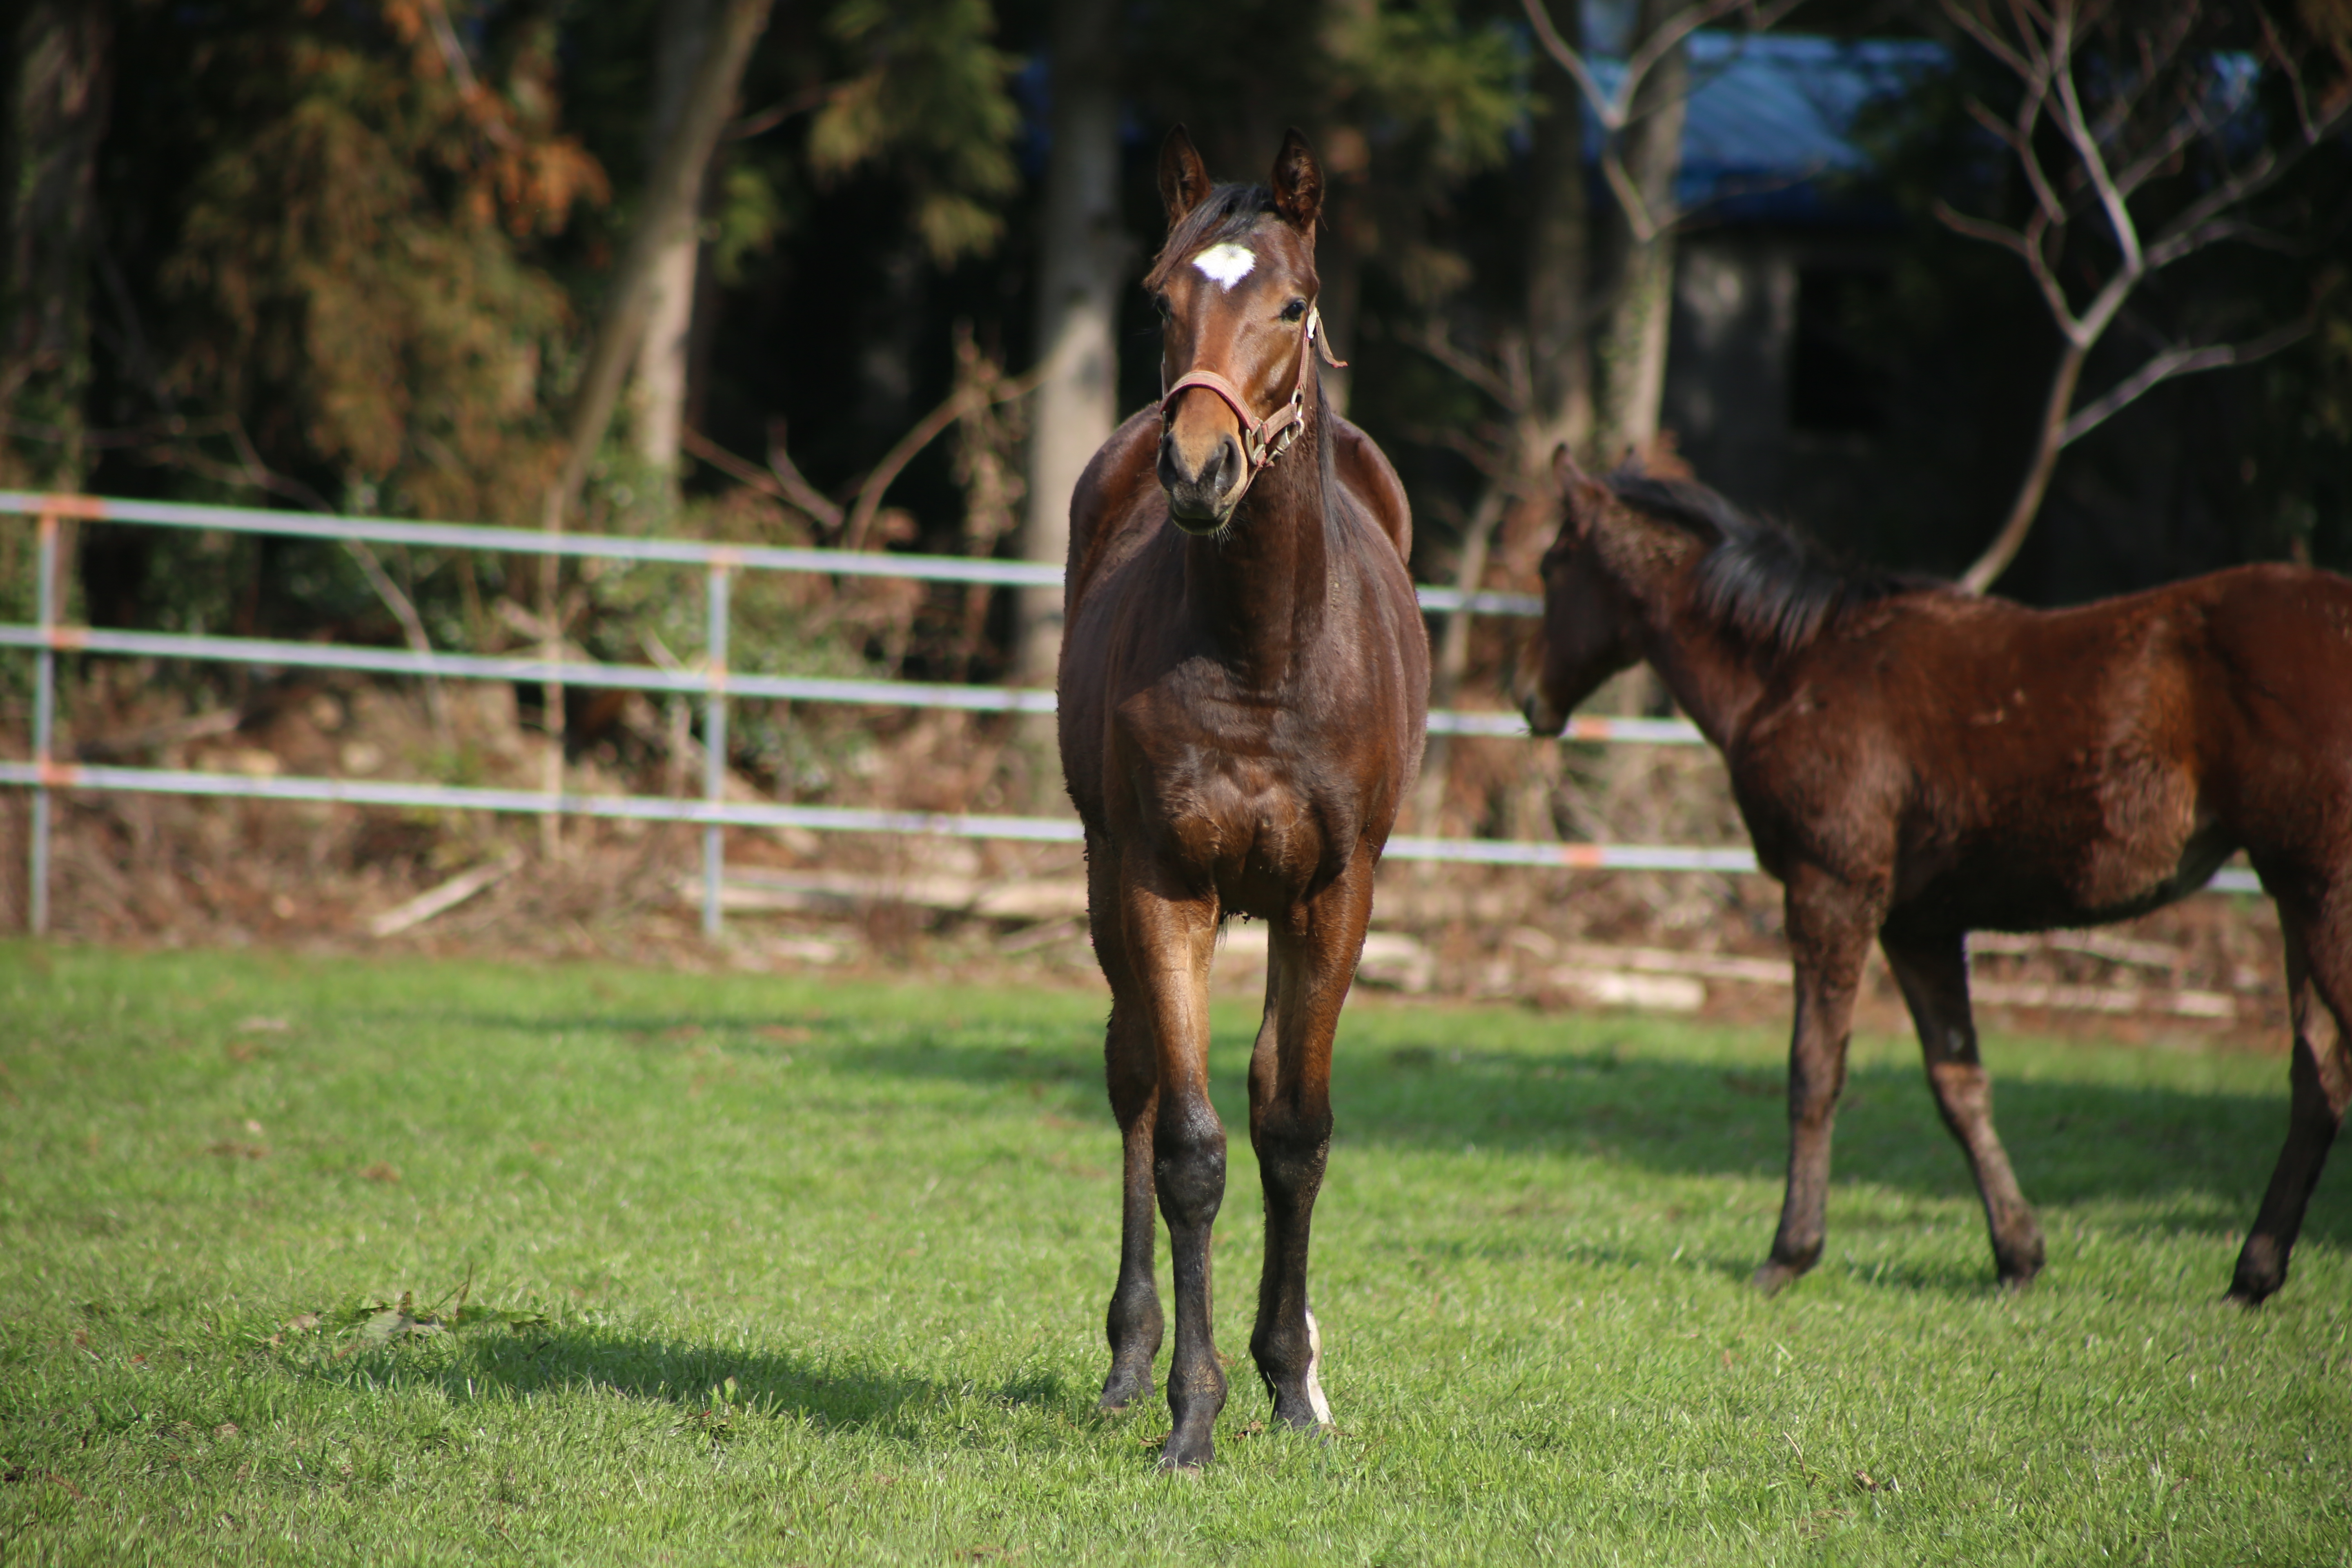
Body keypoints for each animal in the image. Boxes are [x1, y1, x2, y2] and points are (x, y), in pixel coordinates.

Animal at [1058, 126, 1421, 1476]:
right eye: (1161, 298)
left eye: (1294, 304)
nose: (1200, 468)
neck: (1266, 651)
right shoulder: (1166, 885)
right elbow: (1192, 1146)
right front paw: (1192, 1411)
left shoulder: (1334, 893)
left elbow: (1296, 1130)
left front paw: (1289, 1381)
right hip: (1107, 878)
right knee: (1134, 1081)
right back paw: (1128, 1359)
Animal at [1515, 451, 2352, 1297]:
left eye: (1553, 566)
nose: (1528, 698)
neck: (1792, 669)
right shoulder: (1920, 924)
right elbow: (1959, 1084)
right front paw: (2018, 1255)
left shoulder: (1831, 889)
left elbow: (1813, 1072)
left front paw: (1790, 1253)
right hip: (2295, 895)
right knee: (2317, 1079)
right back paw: (2255, 1273)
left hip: (2322, 890)